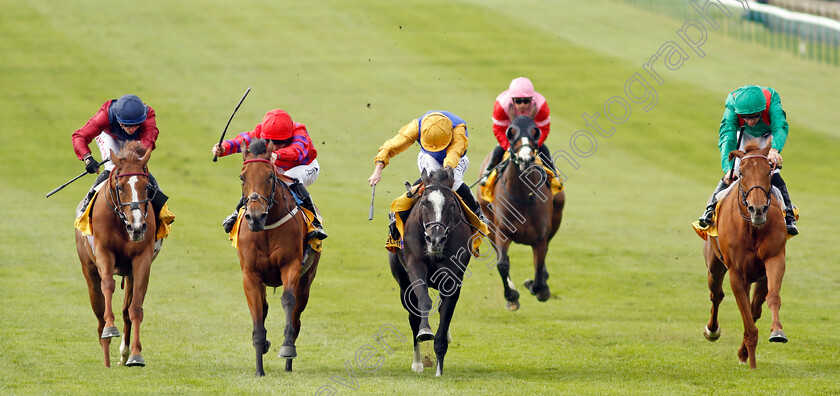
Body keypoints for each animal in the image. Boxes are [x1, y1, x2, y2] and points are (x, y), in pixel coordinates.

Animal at [77, 141, 161, 366]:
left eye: (146, 187)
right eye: (120, 187)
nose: (137, 226)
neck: (121, 223)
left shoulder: (142, 261)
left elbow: (135, 309)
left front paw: (135, 354)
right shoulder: (103, 252)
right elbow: (108, 285)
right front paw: (110, 328)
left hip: (129, 273)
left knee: (126, 311)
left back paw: (123, 354)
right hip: (89, 269)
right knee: (98, 310)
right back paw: (106, 352)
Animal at [236, 139, 322, 378]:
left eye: (269, 176)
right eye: (242, 177)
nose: (256, 217)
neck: (265, 229)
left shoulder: (290, 266)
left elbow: (288, 301)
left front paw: (287, 348)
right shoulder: (250, 275)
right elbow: (258, 315)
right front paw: (259, 369)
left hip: (307, 279)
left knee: (297, 315)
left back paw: (288, 363)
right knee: (265, 307)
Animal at [388, 167, 472, 378]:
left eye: (451, 204)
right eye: (425, 202)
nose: (436, 239)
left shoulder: (453, 277)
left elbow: (446, 312)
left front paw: (439, 368)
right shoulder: (415, 265)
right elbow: (424, 302)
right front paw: (425, 331)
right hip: (403, 285)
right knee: (413, 316)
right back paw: (418, 363)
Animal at [480, 116, 564, 310]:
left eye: (535, 133)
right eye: (511, 134)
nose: (525, 159)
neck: (523, 198)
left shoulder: (540, 237)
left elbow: (539, 267)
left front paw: (538, 288)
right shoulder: (502, 232)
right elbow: (502, 264)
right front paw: (511, 296)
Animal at [704, 139, 788, 368]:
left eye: (769, 171)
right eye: (741, 172)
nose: (757, 209)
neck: (752, 228)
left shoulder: (774, 259)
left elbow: (772, 298)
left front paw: (777, 332)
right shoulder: (736, 273)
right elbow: (748, 323)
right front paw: (752, 364)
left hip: (758, 277)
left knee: (755, 307)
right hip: (714, 266)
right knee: (716, 295)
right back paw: (712, 331)